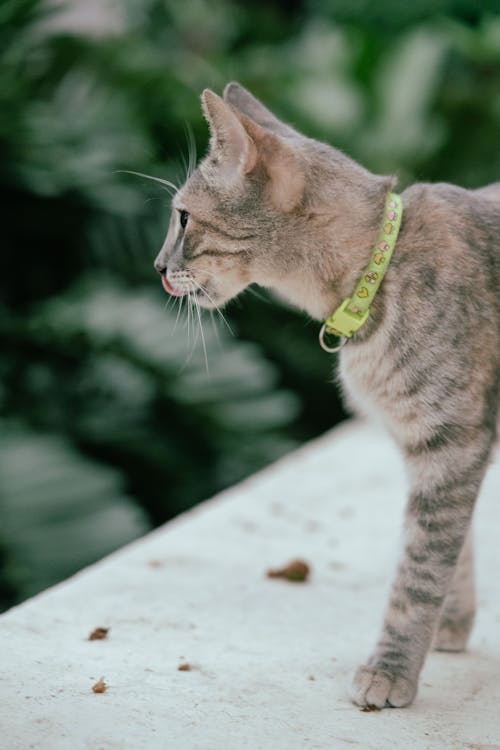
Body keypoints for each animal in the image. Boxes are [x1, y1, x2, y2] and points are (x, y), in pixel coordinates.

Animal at [153, 82, 500, 712]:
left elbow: (420, 569)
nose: (158, 267)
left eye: (184, 218)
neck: (379, 274)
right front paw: (450, 626)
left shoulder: (453, 442)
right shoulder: (430, 444)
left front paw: (391, 669)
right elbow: (455, 554)